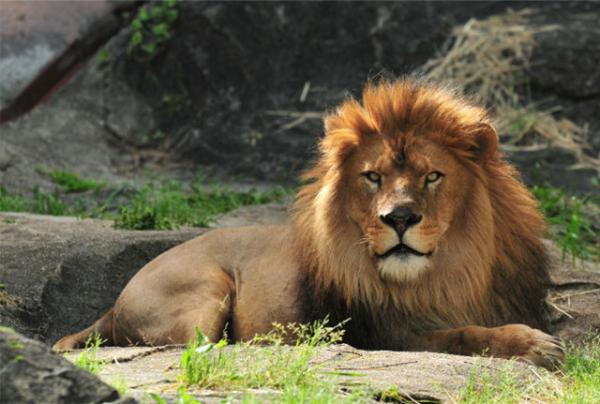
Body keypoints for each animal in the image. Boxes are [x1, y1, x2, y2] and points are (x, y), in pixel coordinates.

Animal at [55, 79, 564, 370]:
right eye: (373, 177)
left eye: (432, 176)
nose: (399, 217)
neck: (452, 272)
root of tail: (112, 305)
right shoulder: (386, 336)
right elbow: (464, 335)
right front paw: (534, 346)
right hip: (206, 291)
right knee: (201, 348)